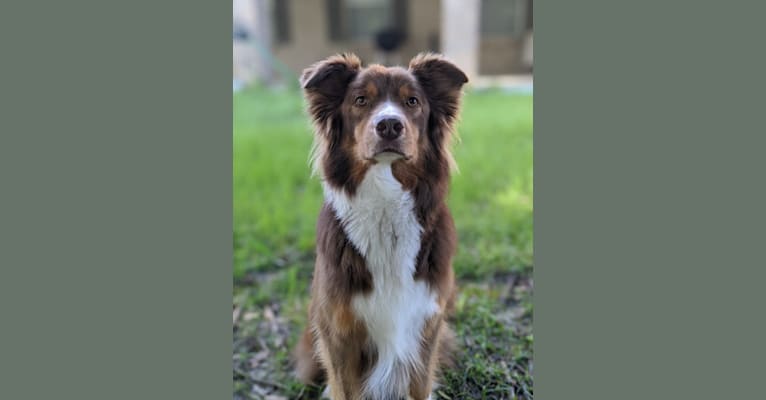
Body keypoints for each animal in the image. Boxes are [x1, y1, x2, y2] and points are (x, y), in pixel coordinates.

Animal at [294, 53, 468, 400]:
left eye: (412, 101)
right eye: (360, 100)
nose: (389, 124)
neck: (386, 205)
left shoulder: (426, 326)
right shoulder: (339, 333)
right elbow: (344, 389)